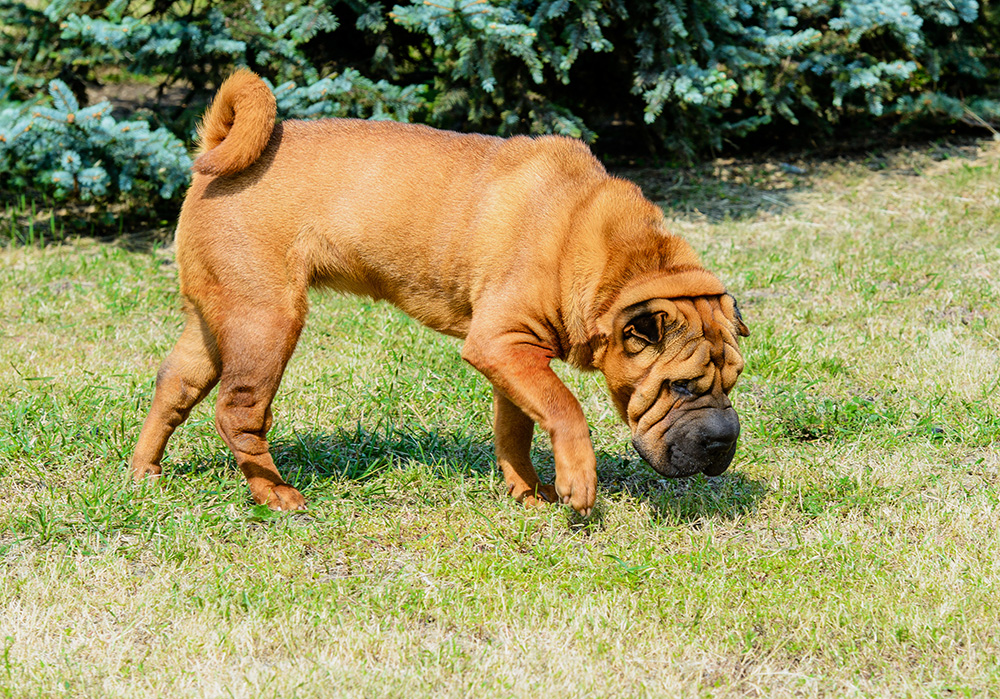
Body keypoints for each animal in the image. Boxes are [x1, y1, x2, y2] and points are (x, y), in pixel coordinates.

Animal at [129, 71, 748, 516]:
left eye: (734, 381)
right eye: (681, 386)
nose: (723, 440)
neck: (601, 253)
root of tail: (218, 147)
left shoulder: (513, 355)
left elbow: (520, 424)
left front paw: (529, 492)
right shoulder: (499, 343)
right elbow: (566, 407)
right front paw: (578, 482)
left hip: (220, 319)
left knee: (174, 385)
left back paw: (144, 472)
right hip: (268, 321)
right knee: (238, 413)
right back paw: (275, 494)